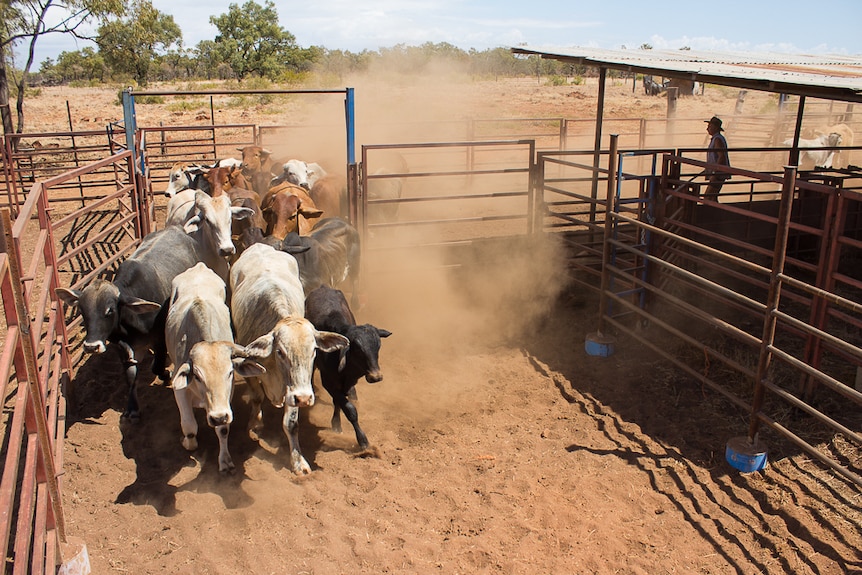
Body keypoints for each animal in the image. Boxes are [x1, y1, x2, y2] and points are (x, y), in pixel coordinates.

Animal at [58, 227, 204, 420]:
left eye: (109, 310)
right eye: (82, 310)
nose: (91, 346)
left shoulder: (159, 340)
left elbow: (157, 367)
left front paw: (166, 374)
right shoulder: (122, 348)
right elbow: (130, 377)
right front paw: (133, 408)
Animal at [165, 264, 264, 474]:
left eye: (230, 373)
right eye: (197, 376)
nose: (218, 417)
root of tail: (198, 267)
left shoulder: (226, 397)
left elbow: (223, 430)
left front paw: (225, 460)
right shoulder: (180, 392)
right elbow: (189, 426)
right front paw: (189, 444)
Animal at [233, 243, 352, 472]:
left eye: (314, 350)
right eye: (280, 351)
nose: (305, 398)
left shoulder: (295, 388)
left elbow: (291, 423)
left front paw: (299, 462)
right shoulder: (249, 370)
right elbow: (256, 396)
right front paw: (255, 423)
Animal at [304, 286, 392, 452]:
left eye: (378, 346)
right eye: (358, 349)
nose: (376, 377)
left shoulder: (348, 381)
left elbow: (339, 401)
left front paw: (337, 423)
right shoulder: (328, 382)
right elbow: (349, 409)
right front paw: (362, 440)